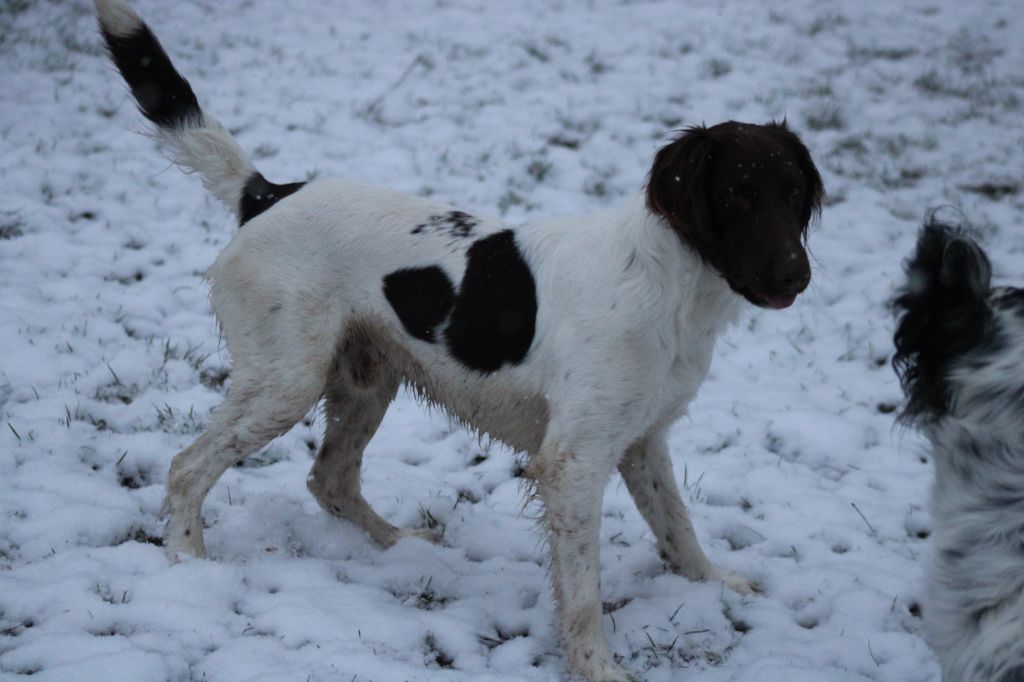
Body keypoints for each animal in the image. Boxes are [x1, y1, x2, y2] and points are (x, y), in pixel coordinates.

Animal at [96, 2, 823, 675]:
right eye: (736, 196)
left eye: (793, 195)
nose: (799, 274)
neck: (671, 284)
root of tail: (267, 194)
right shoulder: (573, 461)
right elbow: (583, 592)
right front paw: (597, 668)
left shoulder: (643, 440)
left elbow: (677, 527)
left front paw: (714, 584)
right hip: (284, 383)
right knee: (189, 466)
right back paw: (188, 560)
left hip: (366, 379)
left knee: (329, 477)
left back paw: (399, 545)